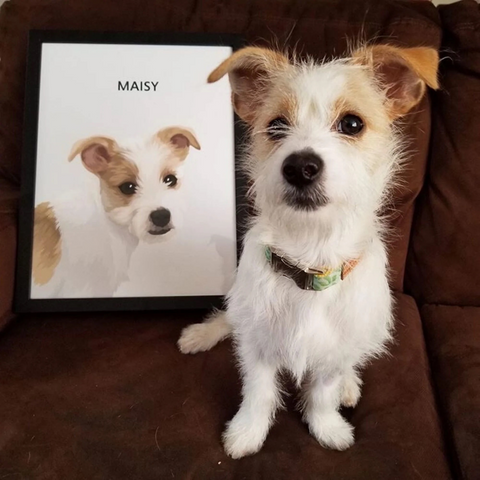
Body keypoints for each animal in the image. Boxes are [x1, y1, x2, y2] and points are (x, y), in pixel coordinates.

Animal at [177, 44, 438, 458]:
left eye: (352, 124)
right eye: (275, 126)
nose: (300, 167)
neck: (311, 257)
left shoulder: (333, 348)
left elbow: (322, 393)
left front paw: (327, 428)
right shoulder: (257, 344)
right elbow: (258, 393)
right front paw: (246, 433)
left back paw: (349, 383)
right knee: (230, 319)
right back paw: (202, 334)